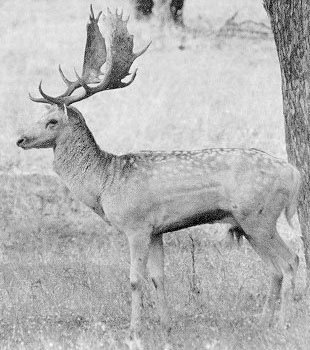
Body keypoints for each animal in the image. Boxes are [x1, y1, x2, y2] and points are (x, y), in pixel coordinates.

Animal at [17, 5, 300, 344]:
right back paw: (263, 325)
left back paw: (283, 326)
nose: (20, 139)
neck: (105, 182)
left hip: (259, 216)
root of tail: (294, 174)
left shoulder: (136, 225)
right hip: (247, 224)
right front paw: (166, 328)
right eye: (40, 116)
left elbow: (135, 280)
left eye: (52, 121)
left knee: (290, 261)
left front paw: (134, 333)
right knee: (275, 268)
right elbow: (158, 278)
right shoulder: (156, 230)